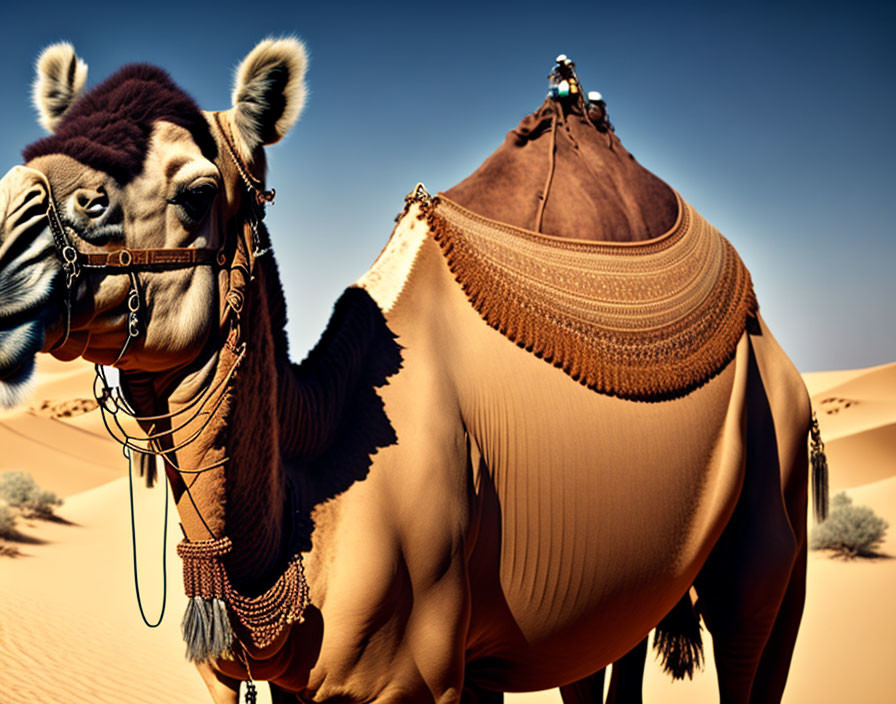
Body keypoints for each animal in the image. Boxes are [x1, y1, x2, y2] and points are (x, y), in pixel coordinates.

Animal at [0, 40, 824, 704]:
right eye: (37, 152)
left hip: (773, 490)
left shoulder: (416, 677)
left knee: (753, 631)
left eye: (196, 191)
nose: (8, 240)